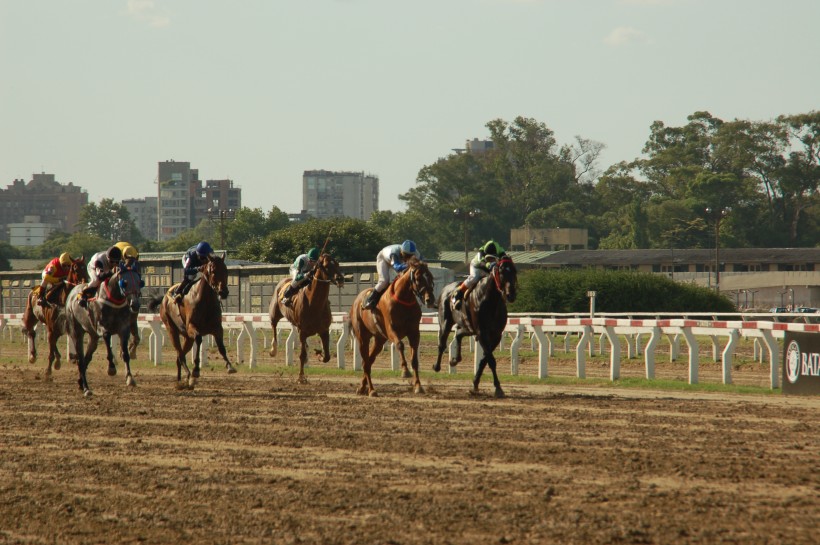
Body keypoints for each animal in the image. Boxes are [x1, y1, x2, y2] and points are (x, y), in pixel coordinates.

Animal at [65, 264, 143, 396]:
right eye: (125, 283)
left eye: (139, 282)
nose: (135, 304)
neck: (114, 300)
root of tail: (72, 293)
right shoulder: (101, 327)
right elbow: (107, 337)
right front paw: (111, 368)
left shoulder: (124, 329)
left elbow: (125, 354)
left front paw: (130, 378)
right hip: (76, 332)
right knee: (80, 360)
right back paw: (86, 388)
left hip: (93, 337)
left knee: (86, 359)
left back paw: (81, 383)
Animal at [150, 253, 235, 388]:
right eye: (213, 271)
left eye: (226, 271)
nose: (224, 292)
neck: (205, 300)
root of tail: (164, 298)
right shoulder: (192, 327)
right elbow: (199, 339)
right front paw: (196, 369)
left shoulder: (217, 328)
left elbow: (221, 347)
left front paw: (229, 366)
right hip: (171, 329)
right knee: (180, 355)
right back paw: (189, 375)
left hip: (187, 338)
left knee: (179, 357)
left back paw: (182, 378)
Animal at [270, 252, 344, 382]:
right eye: (326, 265)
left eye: (337, 263)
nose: (340, 278)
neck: (314, 303)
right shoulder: (303, 332)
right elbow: (302, 355)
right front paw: (301, 378)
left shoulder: (324, 330)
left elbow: (327, 356)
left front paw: (319, 354)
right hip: (275, 311)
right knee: (273, 325)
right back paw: (273, 349)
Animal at [348, 258, 436, 398]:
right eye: (417, 278)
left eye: (431, 277)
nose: (430, 299)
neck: (404, 300)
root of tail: (357, 300)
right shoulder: (391, 330)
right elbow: (400, 345)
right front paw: (405, 371)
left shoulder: (414, 332)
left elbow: (415, 360)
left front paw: (418, 386)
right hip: (362, 337)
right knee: (366, 363)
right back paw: (371, 390)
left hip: (379, 340)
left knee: (369, 361)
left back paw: (362, 388)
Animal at [432, 253, 516, 398]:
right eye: (502, 272)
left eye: (514, 271)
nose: (511, 294)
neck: (490, 300)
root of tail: (445, 289)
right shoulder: (482, 333)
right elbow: (491, 360)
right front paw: (498, 388)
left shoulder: (495, 335)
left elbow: (484, 360)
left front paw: (476, 383)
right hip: (445, 322)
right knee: (442, 344)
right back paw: (437, 366)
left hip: (468, 327)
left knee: (458, 335)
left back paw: (455, 359)